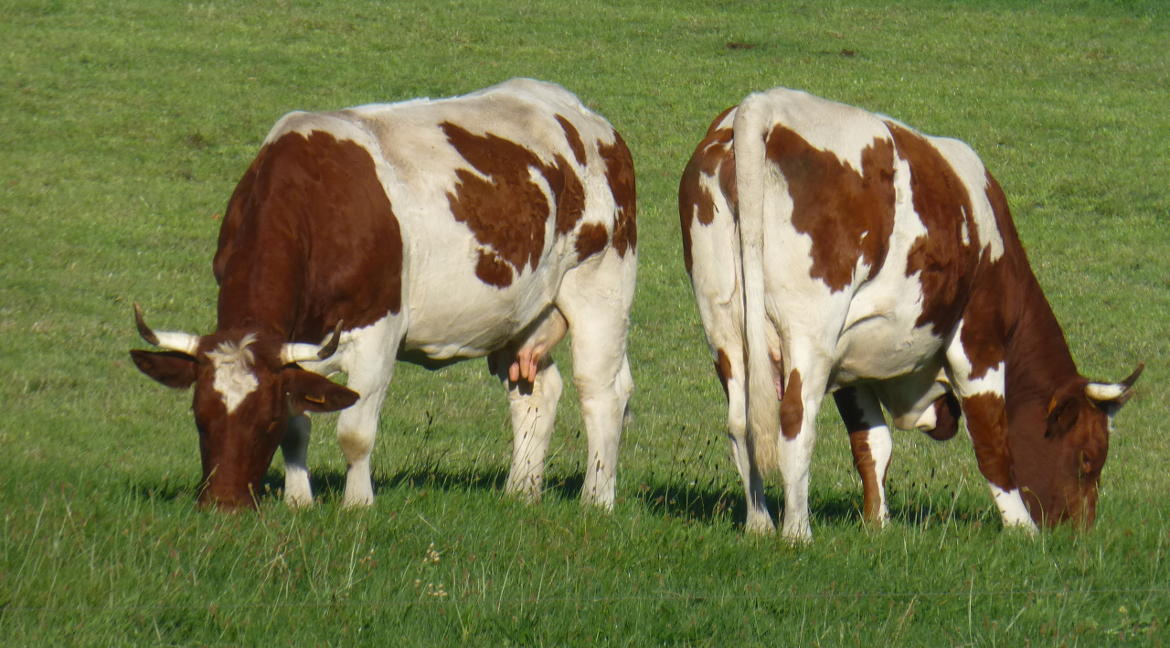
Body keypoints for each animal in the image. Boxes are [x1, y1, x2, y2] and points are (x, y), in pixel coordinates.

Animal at [133, 77, 641, 509]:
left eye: (265, 422)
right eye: (199, 417)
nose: (223, 504)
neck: (314, 201)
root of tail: (586, 117)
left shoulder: (378, 330)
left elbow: (354, 432)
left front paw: (358, 505)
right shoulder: (297, 350)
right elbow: (302, 427)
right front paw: (299, 503)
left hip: (602, 283)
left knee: (601, 390)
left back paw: (596, 500)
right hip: (521, 313)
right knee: (535, 393)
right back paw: (519, 493)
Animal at [683, 88, 1137, 538]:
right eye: (1087, 458)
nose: (1079, 530)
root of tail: (764, 106)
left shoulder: (850, 361)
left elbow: (872, 444)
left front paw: (879, 523)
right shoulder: (979, 339)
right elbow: (991, 441)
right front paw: (1022, 529)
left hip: (724, 326)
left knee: (741, 422)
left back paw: (759, 524)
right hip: (809, 329)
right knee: (795, 419)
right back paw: (797, 533)